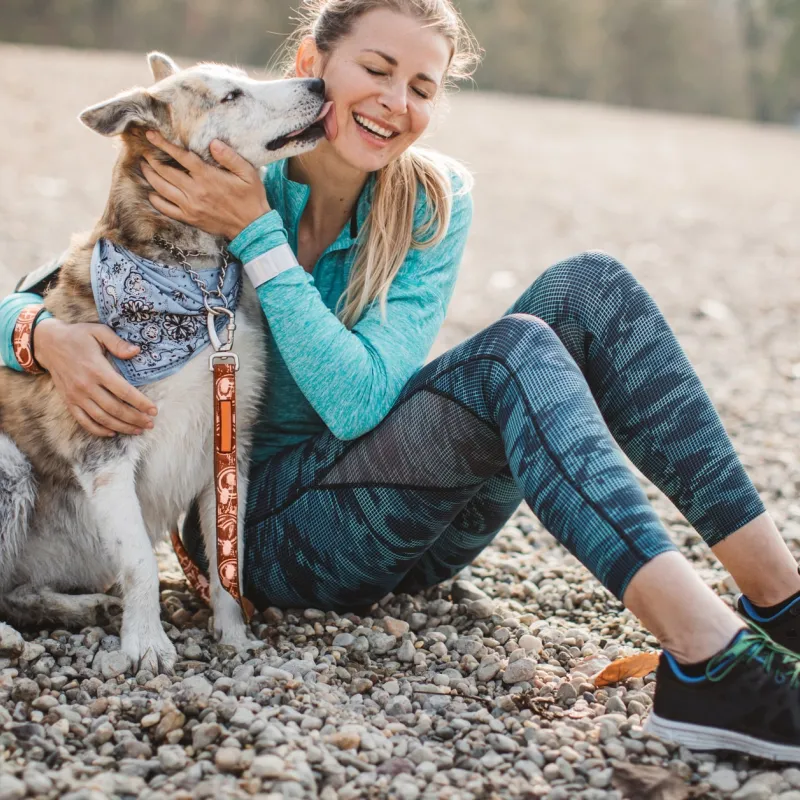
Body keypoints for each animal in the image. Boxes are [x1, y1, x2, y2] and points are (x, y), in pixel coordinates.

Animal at [0, 53, 328, 672]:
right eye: (231, 96)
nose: (321, 84)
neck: (193, 282)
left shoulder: (229, 447)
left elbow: (227, 563)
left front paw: (233, 635)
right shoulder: (104, 452)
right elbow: (140, 566)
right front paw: (146, 644)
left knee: (23, 592)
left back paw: (80, 608)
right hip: (10, 468)